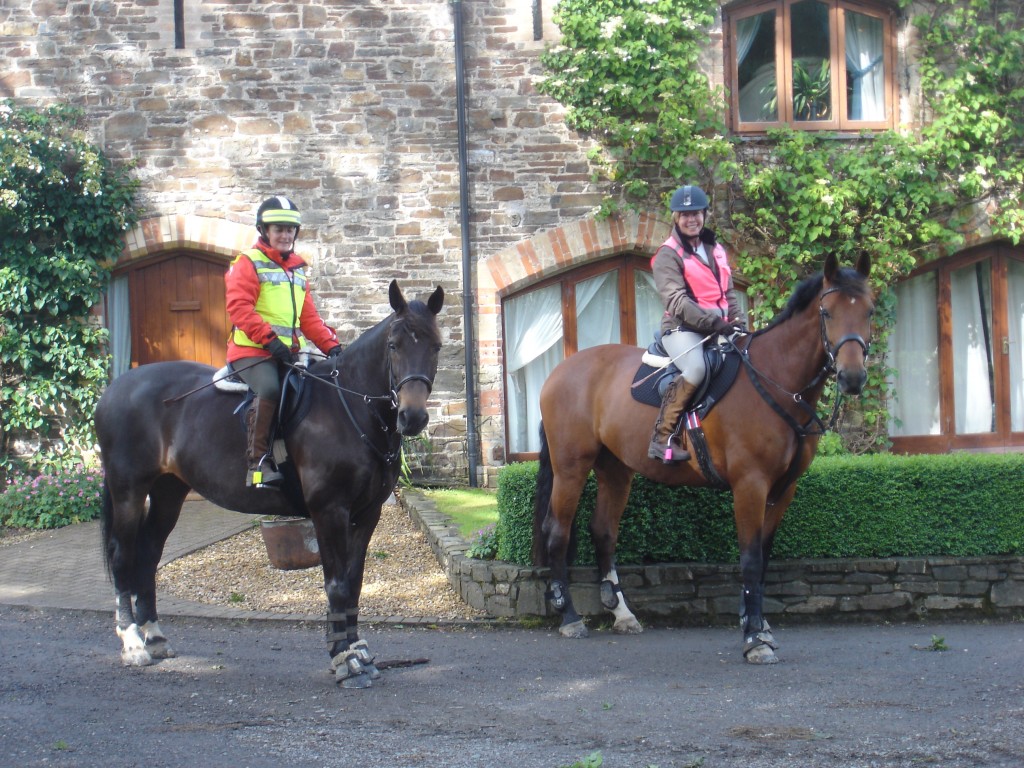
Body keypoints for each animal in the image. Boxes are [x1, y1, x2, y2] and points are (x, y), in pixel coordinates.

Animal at [96, 280, 444, 688]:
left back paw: (155, 636)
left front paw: (357, 652)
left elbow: (354, 581)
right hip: (129, 490)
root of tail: (115, 388)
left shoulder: (367, 513)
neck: (348, 408)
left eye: (436, 345)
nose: (412, 416)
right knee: (123, 555)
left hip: (168, 490)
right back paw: (133, 642)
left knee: (149, 552)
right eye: (393, 345)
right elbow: (337, 584)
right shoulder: (329, 510)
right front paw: (345, 660)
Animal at [532, 256, 876, 663]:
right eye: (827, 312)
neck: (775, 379)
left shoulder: (783, 489)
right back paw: (569, 616)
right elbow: (750, 559)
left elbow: (764, 557)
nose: (852, 377)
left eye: (869, 311)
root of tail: (560, 370)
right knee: (557, 531)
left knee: (603, 531)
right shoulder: (750, 485)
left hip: (615, 471)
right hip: (571, 467)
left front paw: (759, 625)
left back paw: (622, 613)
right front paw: (754, 638)